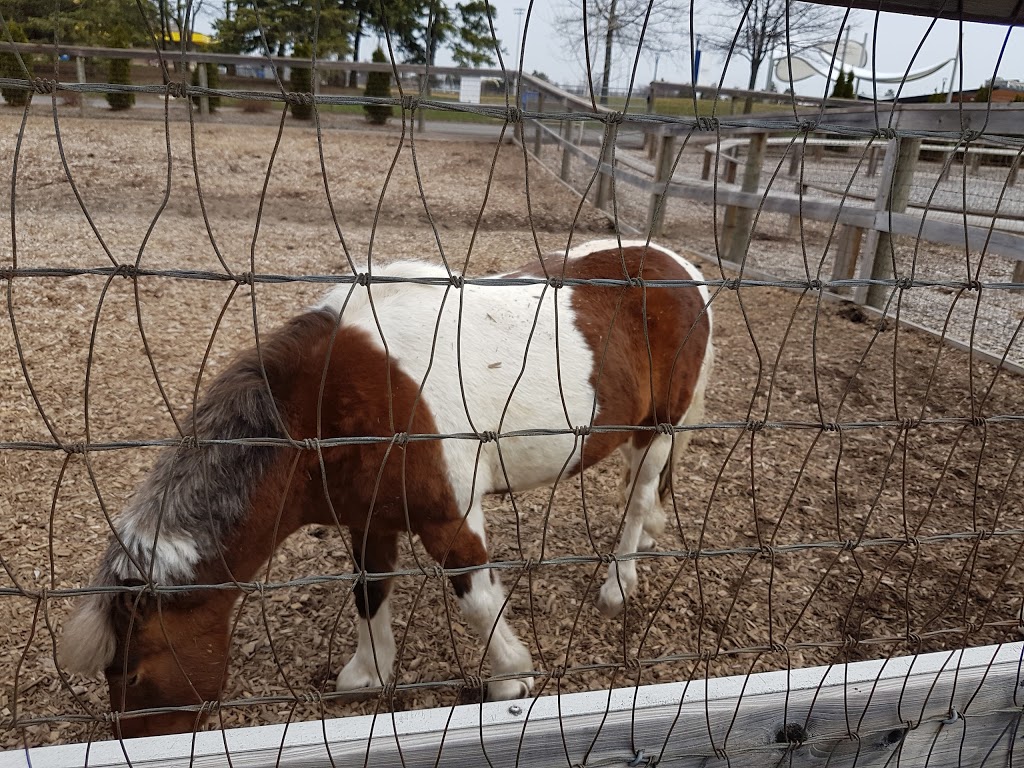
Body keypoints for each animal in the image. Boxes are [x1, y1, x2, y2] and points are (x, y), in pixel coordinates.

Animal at [56, 239, 712, 741]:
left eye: (132, 674)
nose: (131, 745)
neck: (326, 408)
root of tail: (681, 267)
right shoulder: (369, 516)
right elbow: (369, 589)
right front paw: (367, 674)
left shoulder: (451, 515)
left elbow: (477, 600)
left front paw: (510, 676)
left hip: (659, 427)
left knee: (639, 497)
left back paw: (619, 579)